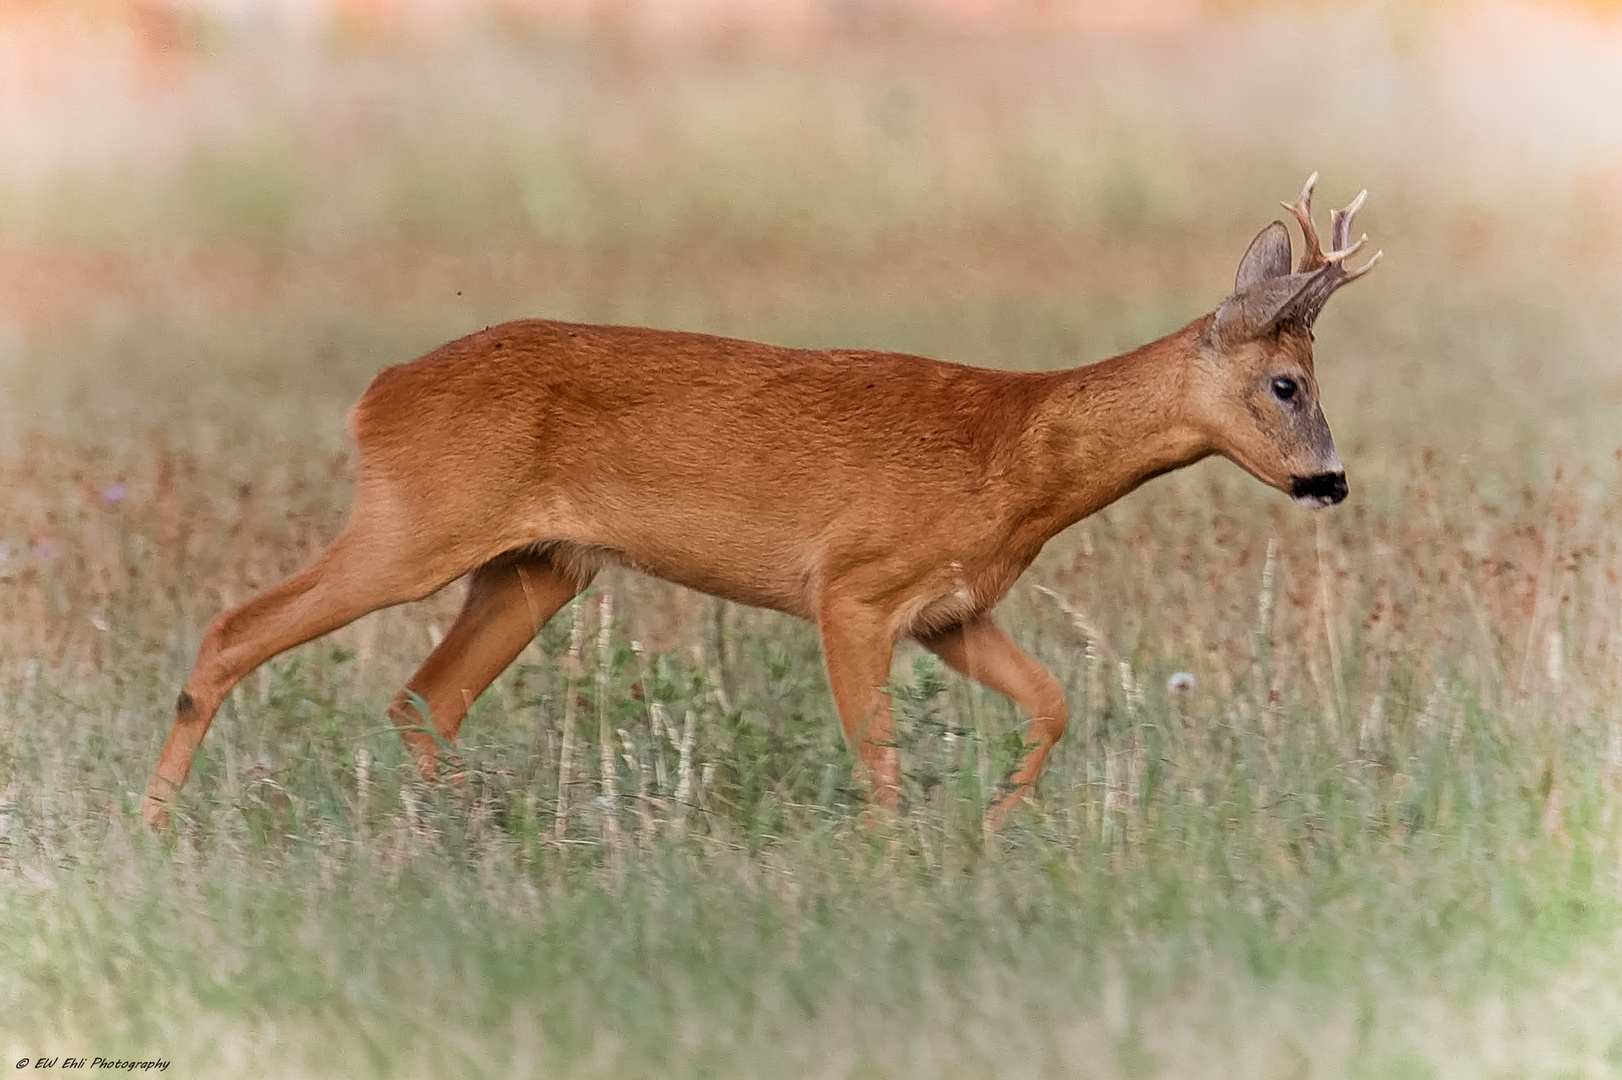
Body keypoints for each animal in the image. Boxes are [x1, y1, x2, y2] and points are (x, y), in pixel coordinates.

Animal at [142, 174, 1381, 830]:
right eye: (1285, 382)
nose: (1328, 479)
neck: (1014, 457)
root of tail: (374, 396)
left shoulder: (951, 609)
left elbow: (1053, 702)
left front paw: (994, 821)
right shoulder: (852, 587)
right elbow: (878, 758)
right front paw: (893, 863)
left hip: (534, 564)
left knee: (421, 698)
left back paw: (471, 829)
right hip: (417, 520)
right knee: (235, 627)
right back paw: (158, 821)